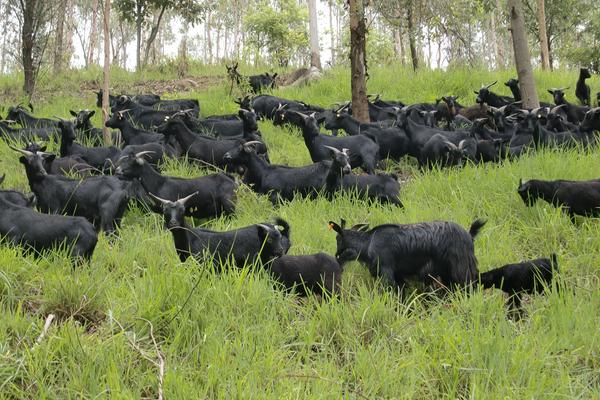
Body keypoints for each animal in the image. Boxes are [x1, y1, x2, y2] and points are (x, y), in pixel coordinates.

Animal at [330, 219, 486, 290]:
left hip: (462, 271)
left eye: (337, 239)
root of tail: (469, 235)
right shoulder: (399, 277)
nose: (336, 257)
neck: (368, 242)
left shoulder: (387, 272)